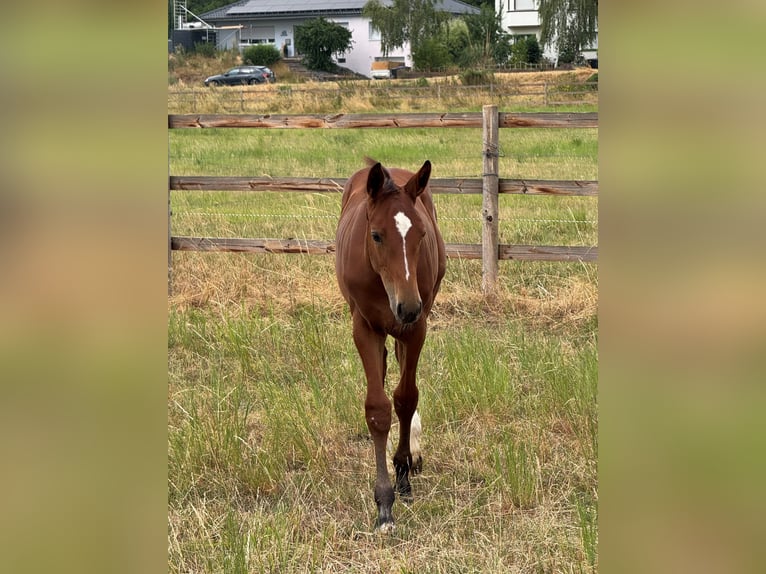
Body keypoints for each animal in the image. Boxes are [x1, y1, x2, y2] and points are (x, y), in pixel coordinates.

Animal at [335, 158, 446, 530]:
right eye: (376, 235)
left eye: (421, 234)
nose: (407, 307)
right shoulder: (364, 327)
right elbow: (377, 409)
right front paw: (384, 504)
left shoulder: (416, 328)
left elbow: (405, 398)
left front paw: (403, 472)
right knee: (384, 367)